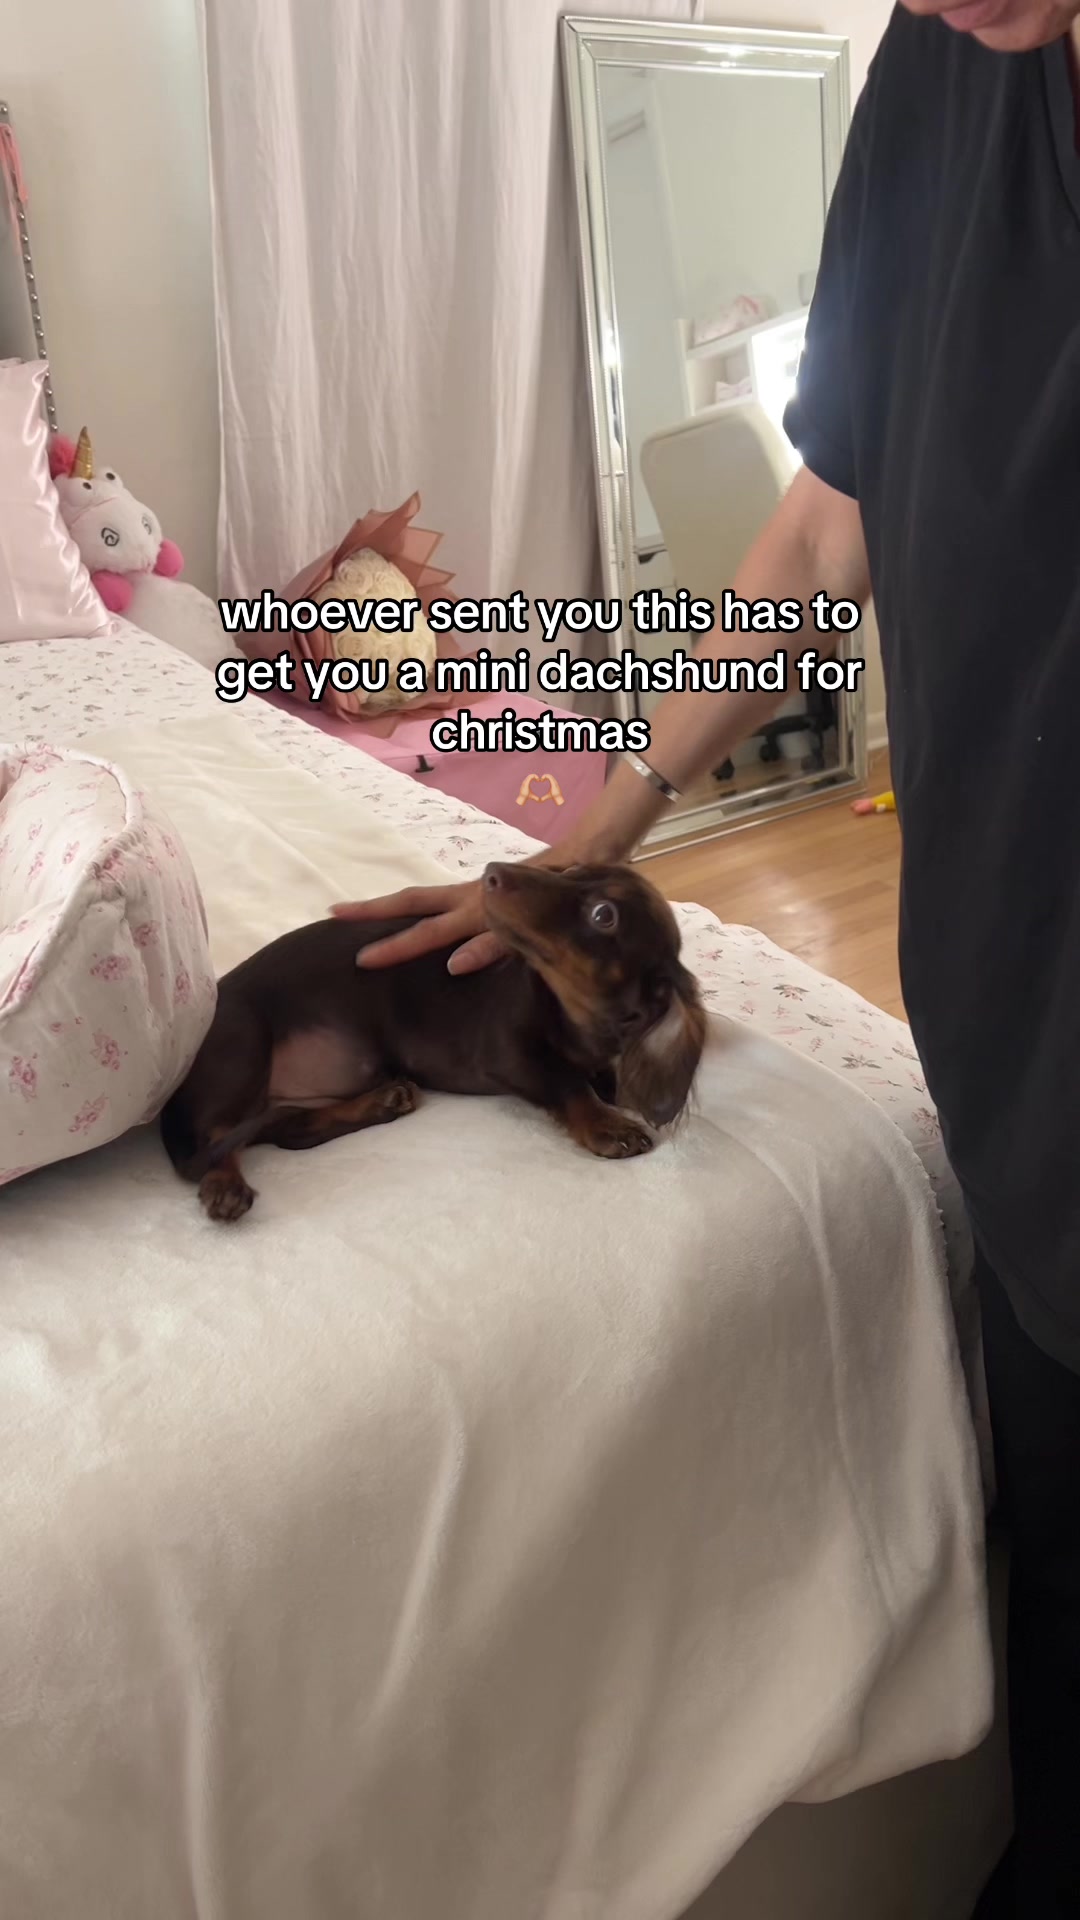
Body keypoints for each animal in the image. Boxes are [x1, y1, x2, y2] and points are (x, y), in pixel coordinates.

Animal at [161, 862, 706, 1222]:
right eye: (569, 868)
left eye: (603, 915)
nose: (492, 872)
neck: (571, 1012)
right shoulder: (509, 1053)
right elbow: (568, 1083)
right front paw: (605, 1124)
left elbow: (599, 1075)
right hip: (243, 1041)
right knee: (217, 1135)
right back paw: (225, 1182)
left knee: (292, 1131)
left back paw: (382, 1101)